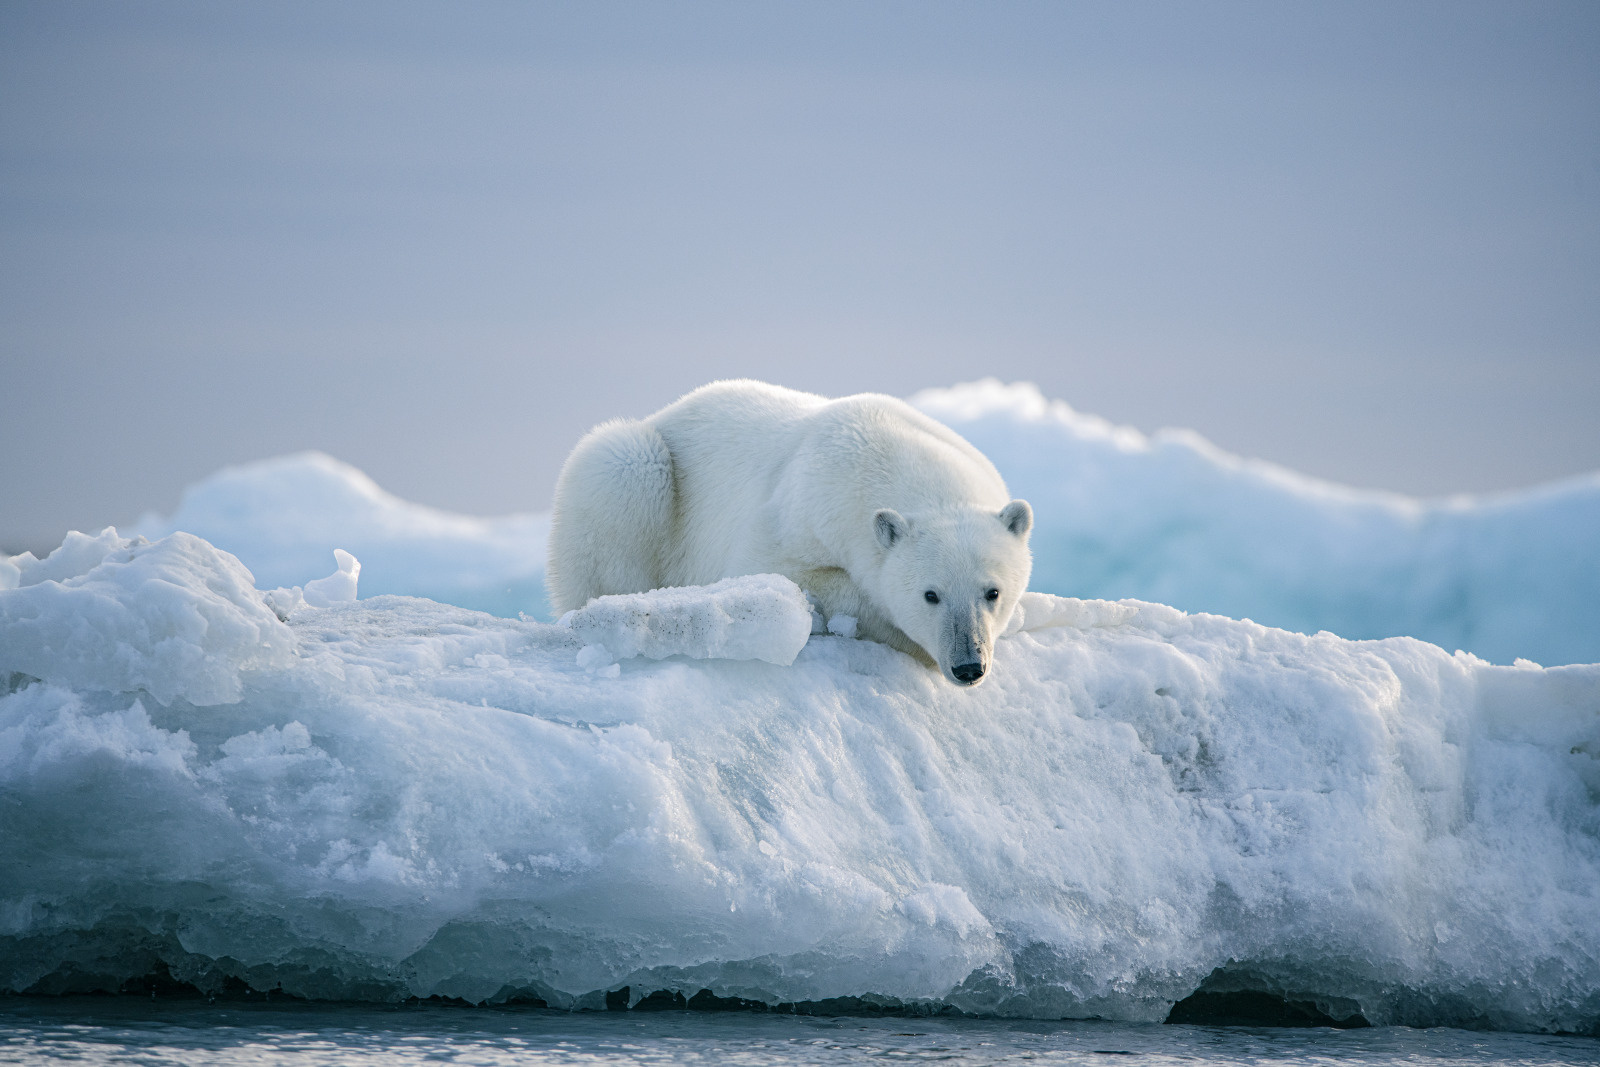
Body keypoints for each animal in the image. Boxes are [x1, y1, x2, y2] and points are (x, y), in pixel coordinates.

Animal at [544, 379, 1030, 687]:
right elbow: (772, 573)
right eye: (931, 595)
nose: (969, 666)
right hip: (636, 468)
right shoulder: (801, 508)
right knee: (622, 471)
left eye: (993, 592)